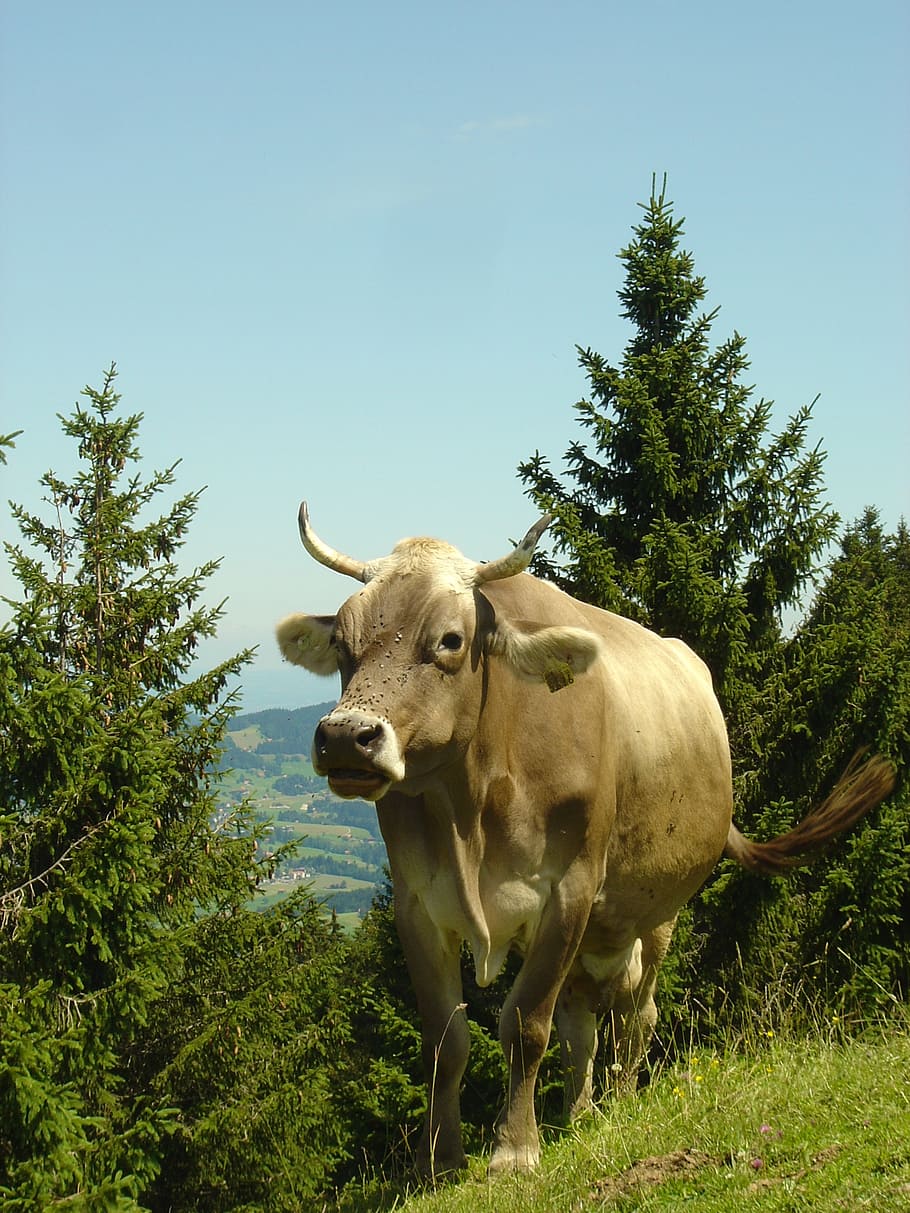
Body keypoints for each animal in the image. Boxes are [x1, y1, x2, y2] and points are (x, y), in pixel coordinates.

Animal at [276, 504, 895, 1177]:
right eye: (343, 642)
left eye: (450, 640)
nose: (346, 737)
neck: (472, 806)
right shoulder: (418, 903)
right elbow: (446, 1038)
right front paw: (439, 1161)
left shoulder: (568, 889)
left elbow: (524, 1026)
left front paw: (514, 1151)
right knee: (583, 1026)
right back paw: (579, 1113)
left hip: (657, 912)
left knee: (635, 1016)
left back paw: (620, 1104)